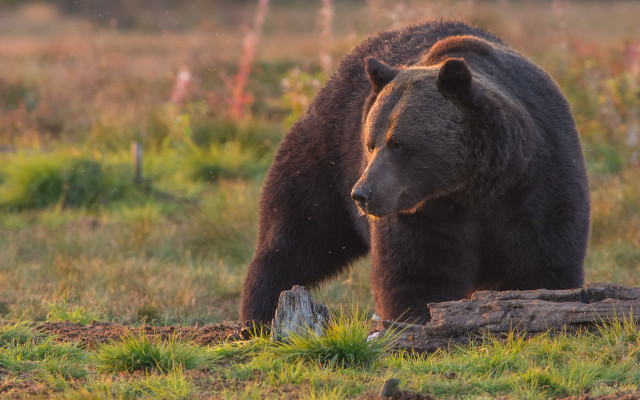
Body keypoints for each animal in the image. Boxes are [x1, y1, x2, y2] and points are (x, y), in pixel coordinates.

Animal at [240, 20, 590, 324]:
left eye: (398, 144)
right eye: (370, 143)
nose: (362, 194)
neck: (470, 191)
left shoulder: (536, 188)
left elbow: (541, 265)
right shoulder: (422, 215)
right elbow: (417, 272)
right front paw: (420, 317)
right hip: (326, 156)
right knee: (295, 235)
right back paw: (257, 314)